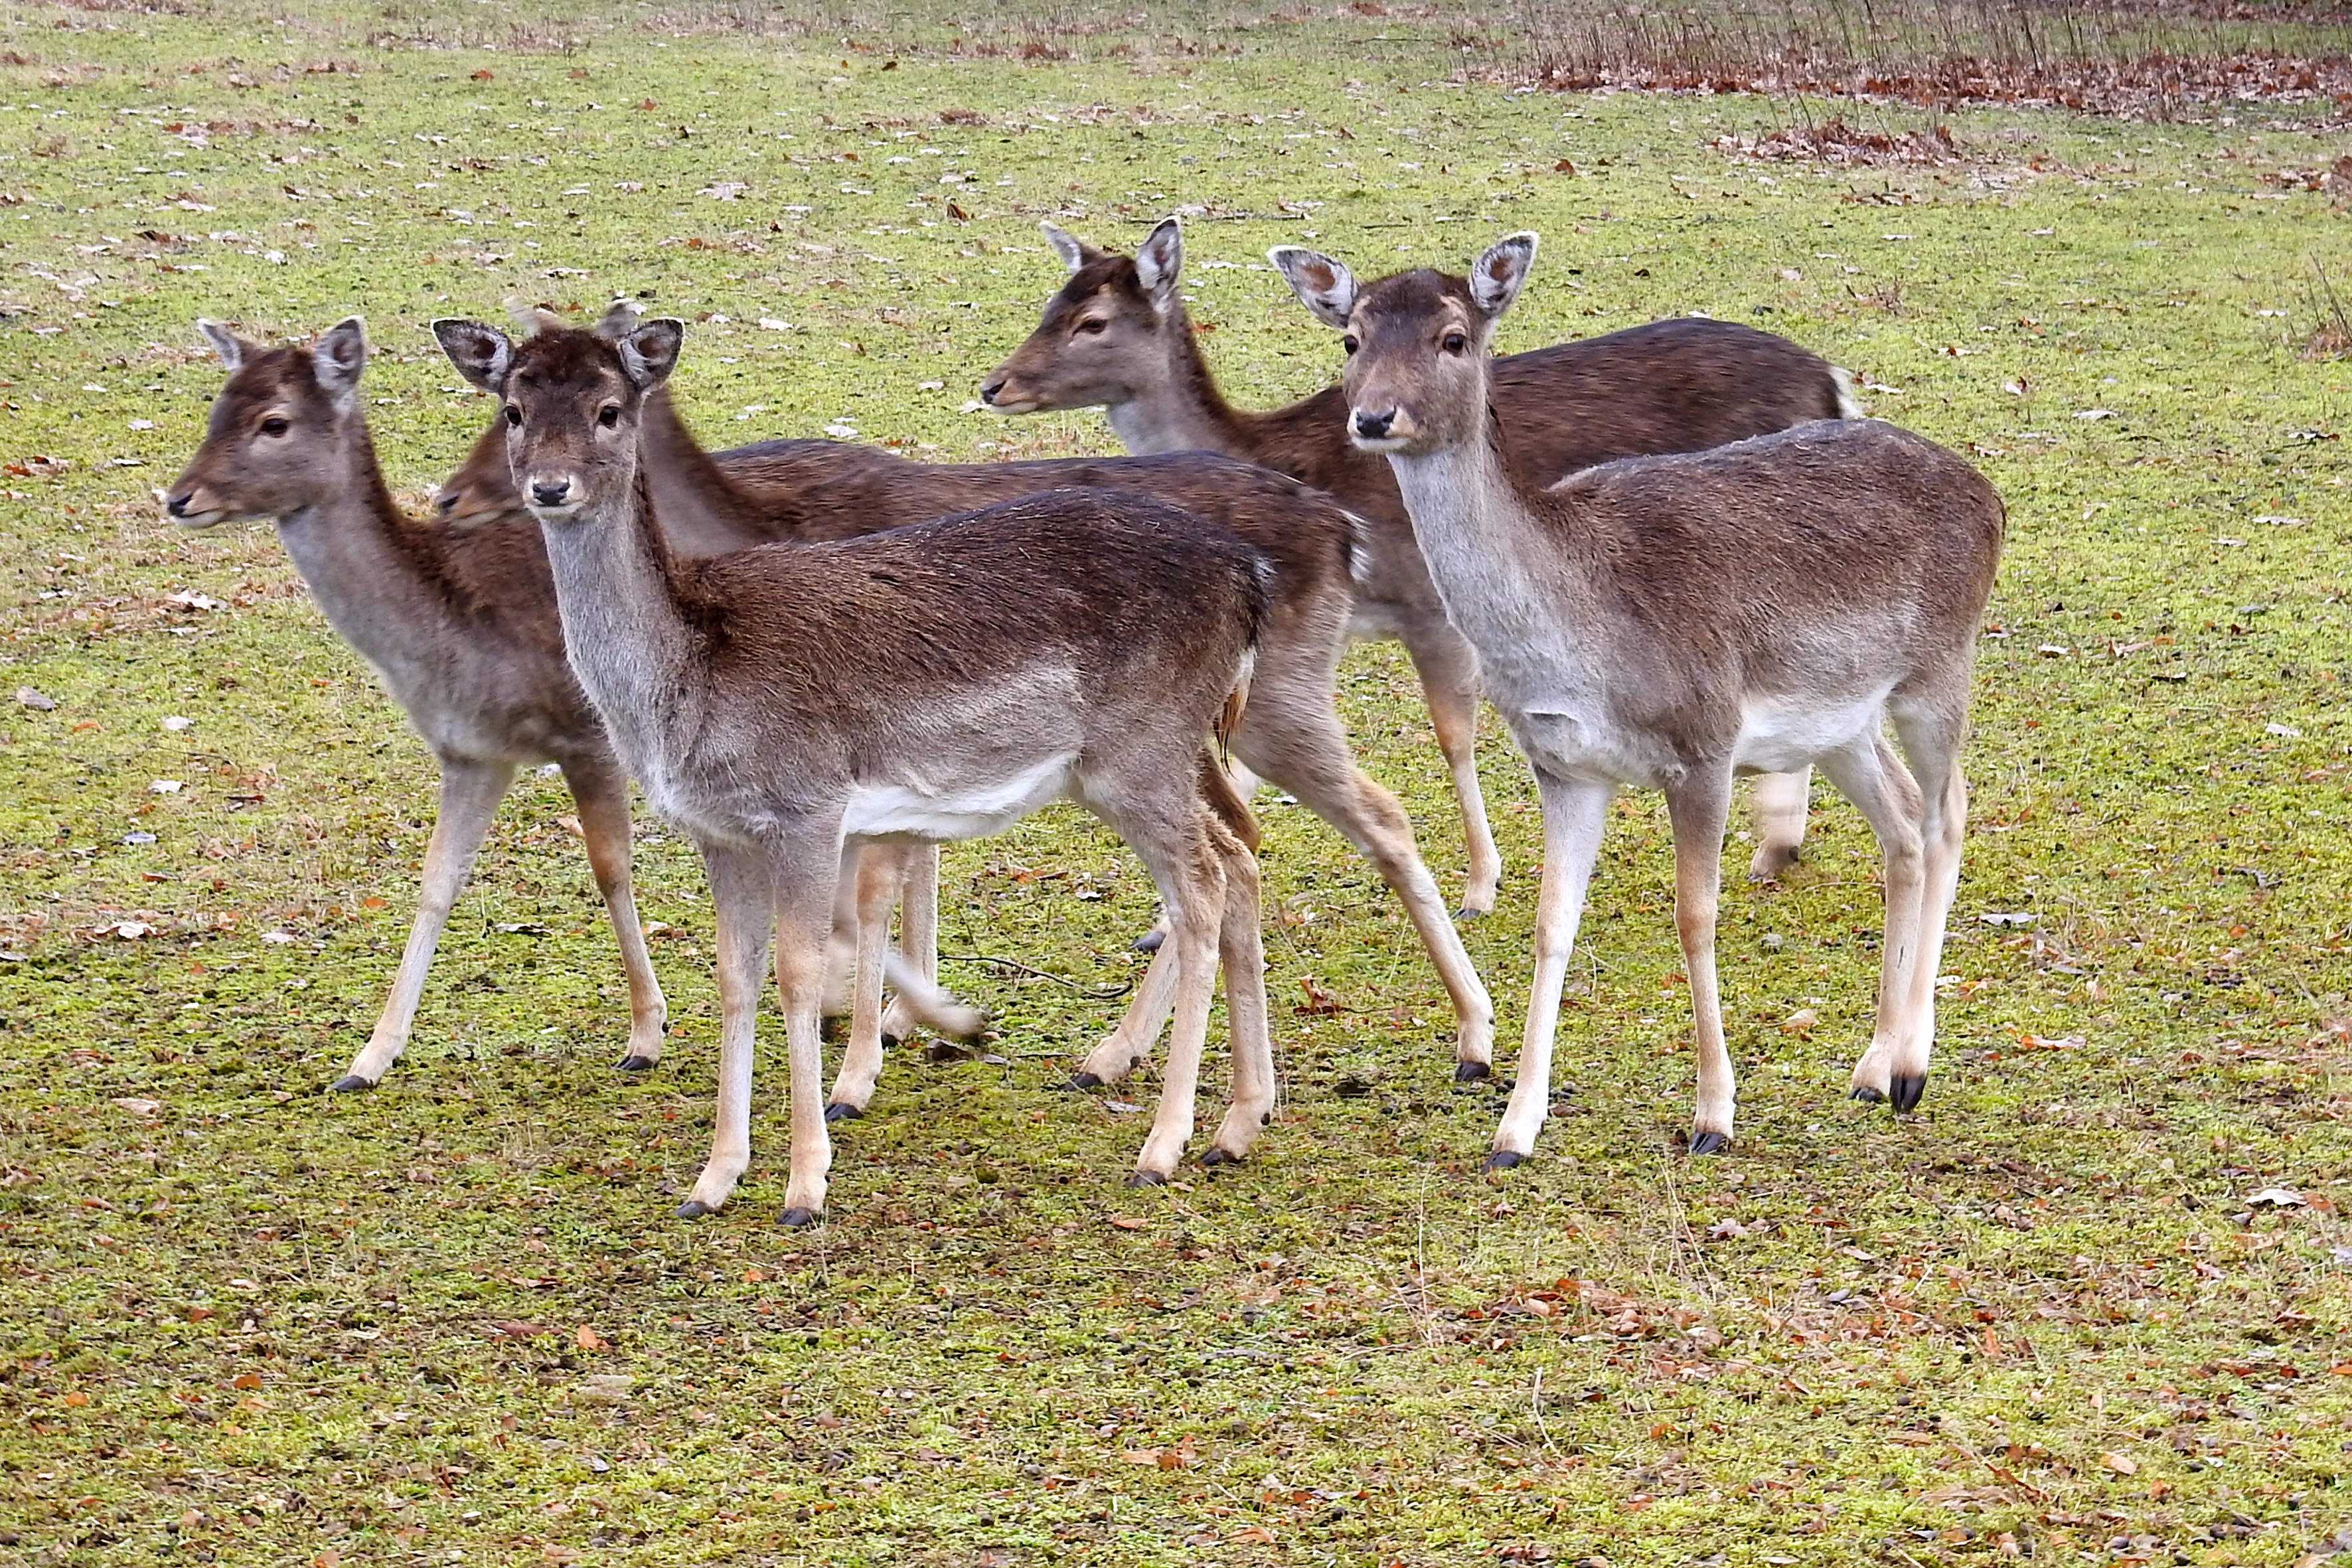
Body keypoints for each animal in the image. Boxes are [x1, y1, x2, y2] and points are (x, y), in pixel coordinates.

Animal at [161, 322, 677, 1091]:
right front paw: (367, 1059)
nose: (180, 497)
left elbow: (611, 869)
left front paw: (646, 1034)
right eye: (215, 409)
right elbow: (436, 882)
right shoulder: (472, 752)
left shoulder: (587, 735)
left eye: (274, 422)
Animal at [437, 312, 1289, 1222]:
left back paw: (1162, 1146)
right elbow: (734, 977)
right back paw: (1240, 1123)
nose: (549, 487)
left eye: (608, 409)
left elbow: (800, 973)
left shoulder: (808, 806)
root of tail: (1251, 577)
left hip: (1141, 753)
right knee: (1239, 854)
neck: (684, 683)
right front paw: (713, 1181)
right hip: (1175, 751)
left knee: (1201, 887)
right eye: (513, 409)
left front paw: (805, 1183)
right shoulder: (718, 832)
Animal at [439, 322, 1496, 1091]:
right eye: (509, 406)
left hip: (1259, 703)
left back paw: (1469, 1037)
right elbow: (884, 887)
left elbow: (869, 896)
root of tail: (1337, 526)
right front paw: (909, 1025)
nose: (525, 488)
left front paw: (869, 1059)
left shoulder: (840, 787)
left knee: (1361, 816)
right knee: (1243, 841)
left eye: (610, 409)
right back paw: (1159, 1068)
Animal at [973, 220, 1853, 907]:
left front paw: (1481, 882)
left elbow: (1451, 736)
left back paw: (1773, 844)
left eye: (1092, 322)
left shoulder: (1428, 607)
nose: (993, 384)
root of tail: (1834, 380)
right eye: (1052, 305)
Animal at [1270, 236, 2003, 1166]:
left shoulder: (1706, 742)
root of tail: (1987, 489)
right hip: (1841, 720)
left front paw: (1714, 1115)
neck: (1584, 633)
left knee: (1948, 815)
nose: (1373, 418)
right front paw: (1515, 1127)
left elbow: (1695, 917)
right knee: (1903, 824)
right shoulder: (1564, 764)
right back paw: (1871, 1066)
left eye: (1453, 337)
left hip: (1939, 667)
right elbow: (1552, 924)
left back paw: (1911, 1065)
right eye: (1351, 338)